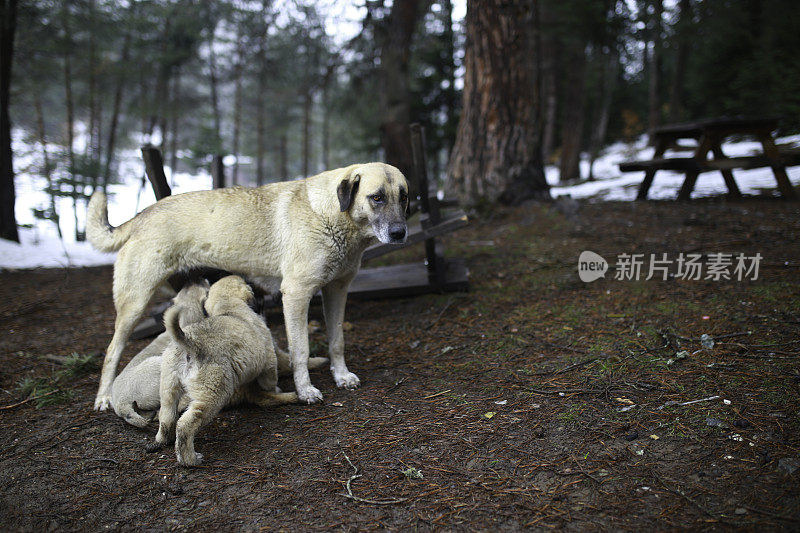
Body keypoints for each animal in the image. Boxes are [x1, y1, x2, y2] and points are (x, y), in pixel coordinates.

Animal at [89, 162, 406, 408]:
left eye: (403, 197)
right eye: (377, 197)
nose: (400, 233)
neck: (331, 215)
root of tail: (143, 214)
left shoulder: (337, 290)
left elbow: (337, 340)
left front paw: (341, 376)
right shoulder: (296, 295)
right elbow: (301, 350)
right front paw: (305, 391)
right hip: (135, 304)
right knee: (112, 351)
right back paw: (103, 397)